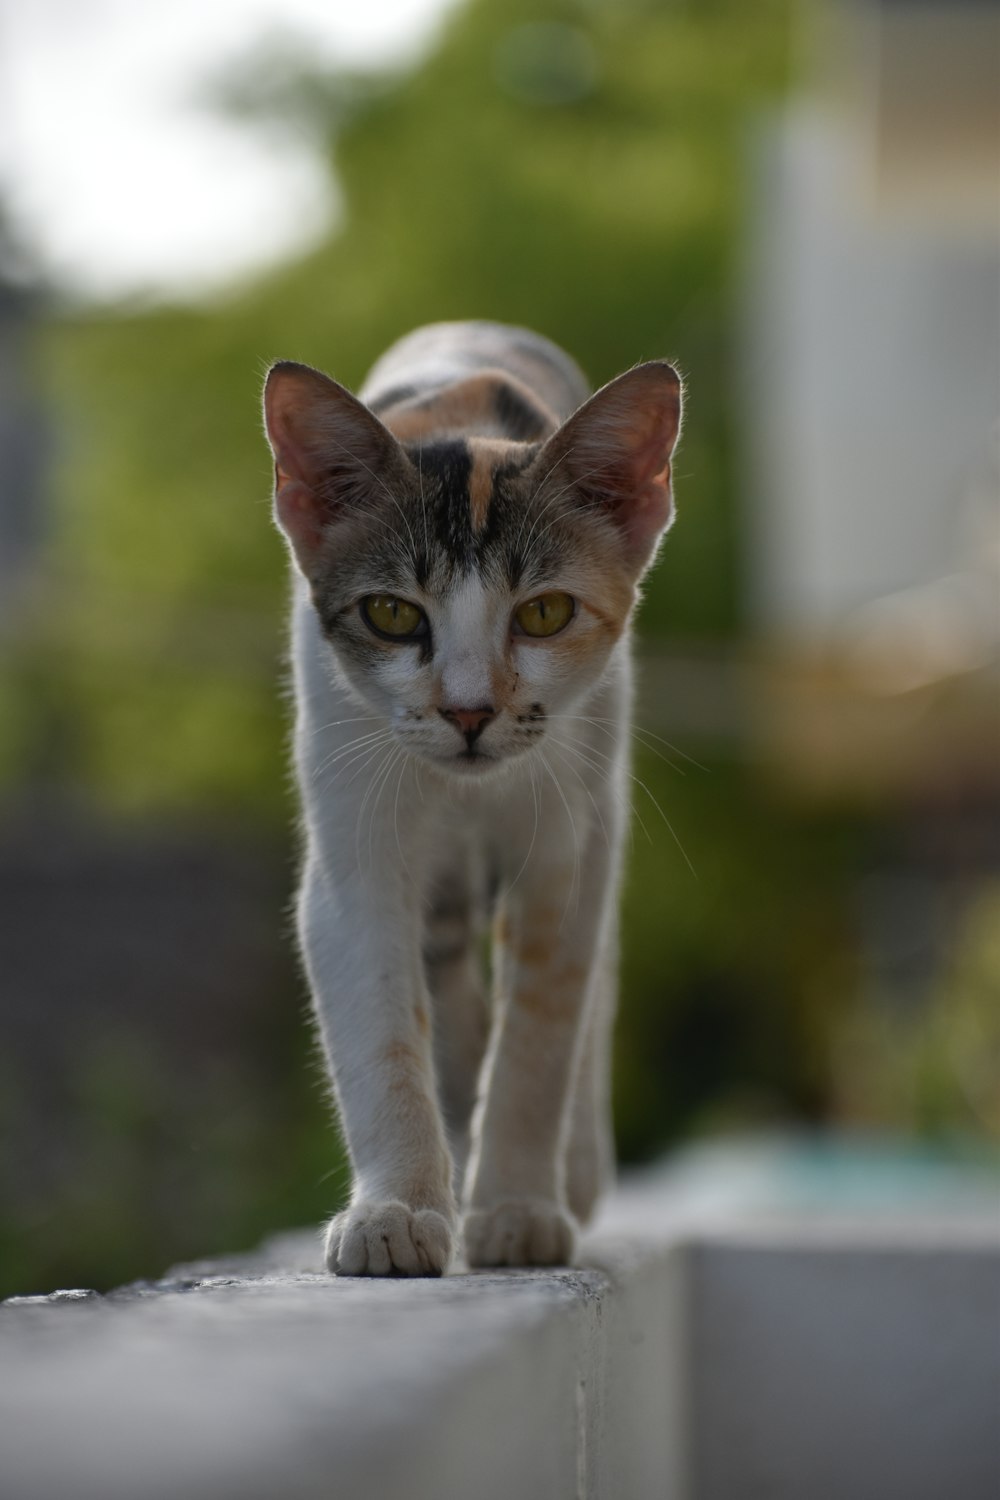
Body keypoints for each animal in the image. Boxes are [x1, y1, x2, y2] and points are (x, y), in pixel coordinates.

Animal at [262, 319, 683, 1278]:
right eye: (389, 614)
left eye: (544, 614)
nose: (467, 711)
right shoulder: (353, 836)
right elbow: (381, 1026)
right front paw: (398, 1210)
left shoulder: (572, 839)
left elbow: (543, 1029)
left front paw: (519, 1207)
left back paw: (575, 1169)